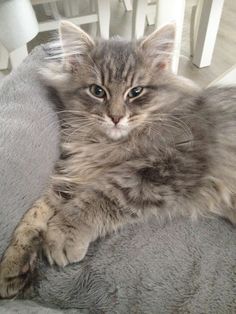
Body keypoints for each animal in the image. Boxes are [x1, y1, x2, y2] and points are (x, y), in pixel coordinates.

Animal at [0, 20, 236, 298]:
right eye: (97, 91)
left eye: (135, 92)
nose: (115, 117)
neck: (108, 146)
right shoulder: (75, 175)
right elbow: (35, 214)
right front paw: (13, 265)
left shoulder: (167, 169)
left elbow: (99, 198)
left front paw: (61, 235)